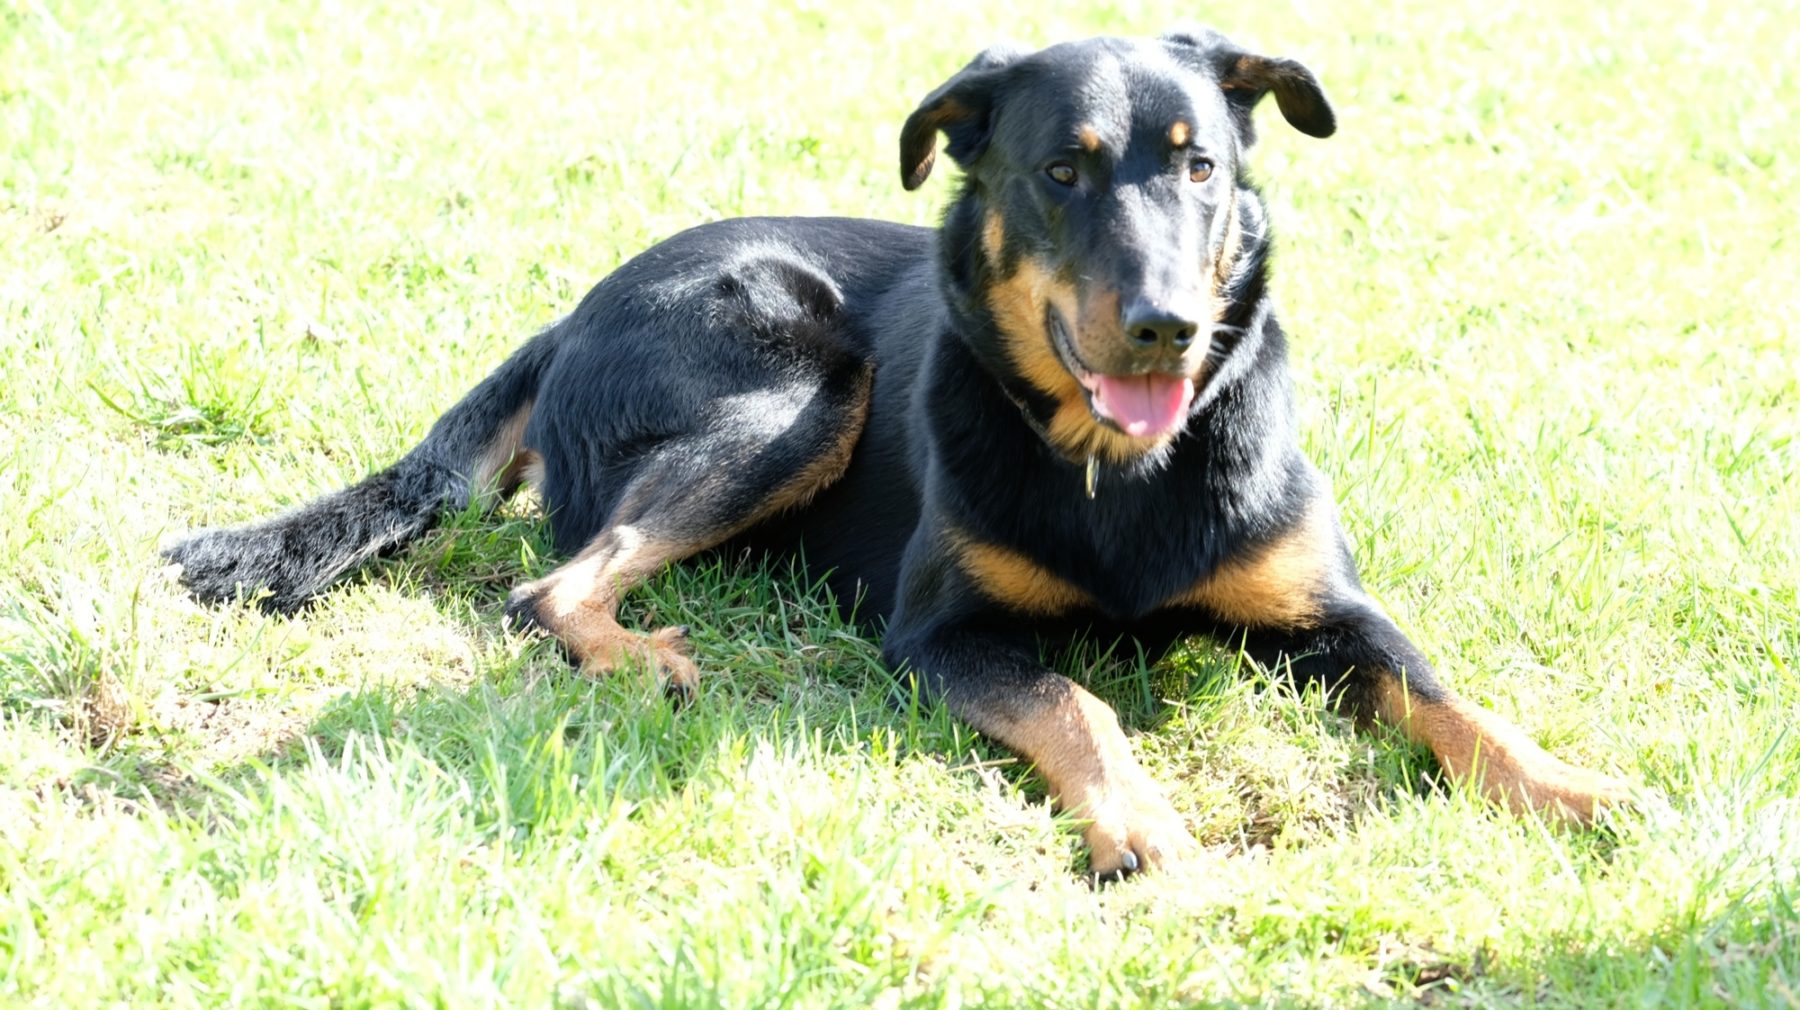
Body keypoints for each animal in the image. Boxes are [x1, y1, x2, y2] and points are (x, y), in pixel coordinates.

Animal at [165, 29, 1632, 877]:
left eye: (1199, 166)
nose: (1165, 325)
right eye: (1060, 172)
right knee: (553, 583)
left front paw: (1567, 786)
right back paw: (640, 652)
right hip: (803, 385)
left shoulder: (1332, 611)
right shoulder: (943, 633)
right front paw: (1142, 821)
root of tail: (572, 312)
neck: (1118, 467)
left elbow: (1453, 699)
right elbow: (1077, 700)